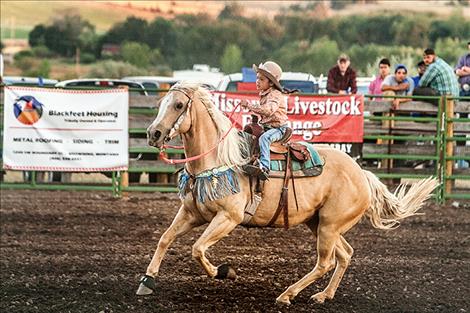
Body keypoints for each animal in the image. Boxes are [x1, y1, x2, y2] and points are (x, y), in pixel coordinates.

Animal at [139, 81, 436, 304]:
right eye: (162, 103)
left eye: (179, 105)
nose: (154, 133)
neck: (218, 160)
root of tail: (362, 174)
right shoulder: (192, 213)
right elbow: (165, 239)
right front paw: (147, 281)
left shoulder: (228, 217)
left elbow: (197, 248)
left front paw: (224, 272)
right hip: (320, 223)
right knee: (345, 254)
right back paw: (323, 295)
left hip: (329, 225)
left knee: (325, 262)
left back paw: (287, 294)